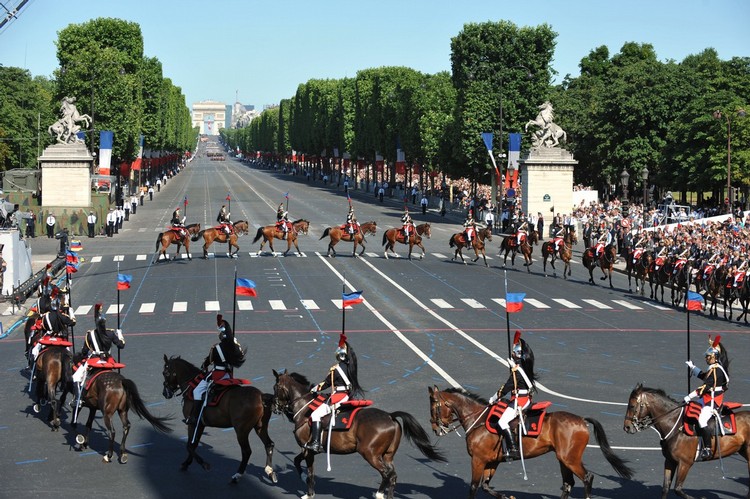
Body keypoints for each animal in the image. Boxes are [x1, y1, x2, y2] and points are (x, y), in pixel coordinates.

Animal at [162, 356, 280, 484]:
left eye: (165, 373)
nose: (165, 393)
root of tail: (261, 396)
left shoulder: (193, 424)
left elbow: (189, 445)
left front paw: (204, 464)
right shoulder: (201, 425)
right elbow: (194, 444)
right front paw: (186, 463)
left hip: (241, 431)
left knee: (246, 451)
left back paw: (237, 475)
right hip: (260, 427)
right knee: (269, 444)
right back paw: (270, 472)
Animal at [274, 370, 444, 499]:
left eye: (276, 387)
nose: (275, 407)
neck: (306, 409)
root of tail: (390, 416)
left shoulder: (308, 449)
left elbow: (308, 471)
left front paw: (308, 491)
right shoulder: (306, 450)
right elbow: (297, 462)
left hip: (370, 454)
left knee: (387, 474)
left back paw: (380, 494)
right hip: (387, 455)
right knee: (392, 475)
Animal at [428, 386, 636, 499]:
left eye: (433, 406)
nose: (435, 428)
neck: (478, 420)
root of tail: (581, 420)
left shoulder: (478, 460)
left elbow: (473, 487)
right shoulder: (491, 462)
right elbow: (486, 486)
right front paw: (507, 496)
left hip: (570, 459)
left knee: (587, 478)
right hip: (563, 459)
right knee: (568, 483)